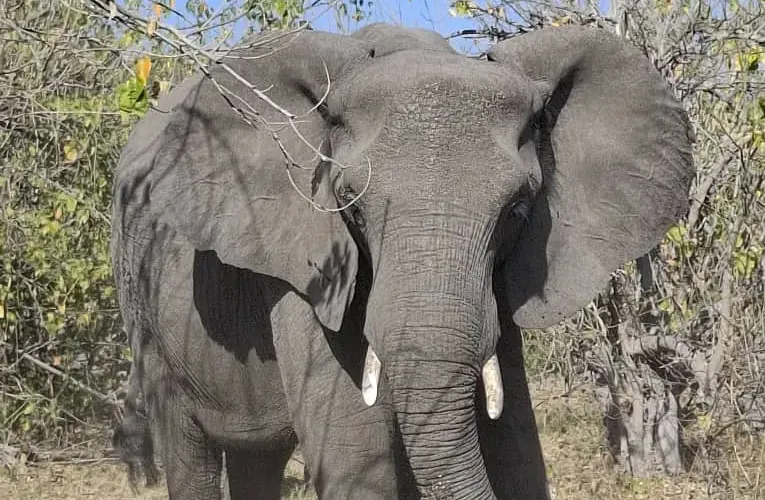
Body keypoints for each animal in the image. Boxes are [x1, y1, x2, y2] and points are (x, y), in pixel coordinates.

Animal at [110, 21, 695, 500]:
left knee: (260, 458)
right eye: (351, 205)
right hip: (144, 304)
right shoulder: (310, 261)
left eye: (517, 210)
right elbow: (355, 454)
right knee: (187, 446)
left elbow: (515, 440)